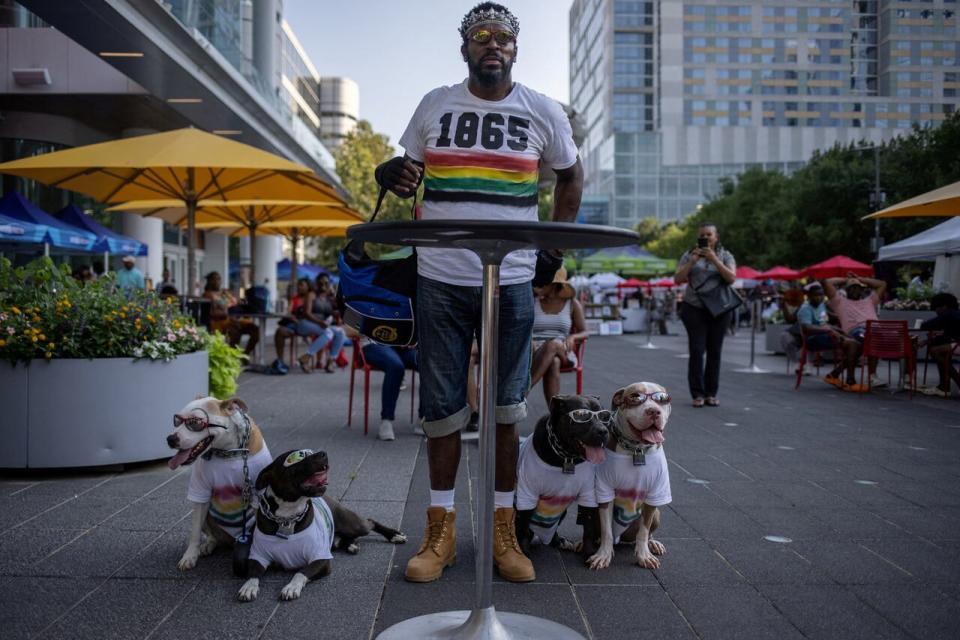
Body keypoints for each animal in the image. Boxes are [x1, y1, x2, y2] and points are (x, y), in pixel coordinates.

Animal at [516, 396, 608, 564]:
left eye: (605, 417)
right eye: (581, 415)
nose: (603, 431)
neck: (566, 457)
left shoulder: (588, 495)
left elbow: (589, 528)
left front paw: (589, 552)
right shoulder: (526, 495)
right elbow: (523, 527)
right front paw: (523, 554)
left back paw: (559, 541)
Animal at [584, 380, 676, 568]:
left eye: (661, 399)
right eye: (635, 397)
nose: (653, 411)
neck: (636, 449)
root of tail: (625, 539)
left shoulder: (655, 494)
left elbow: (644, 531)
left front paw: (644, 556)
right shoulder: (605, 491)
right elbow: (607, 531)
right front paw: (603, 555)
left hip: (657, 514)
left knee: (646, 533)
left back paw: (653, 544)